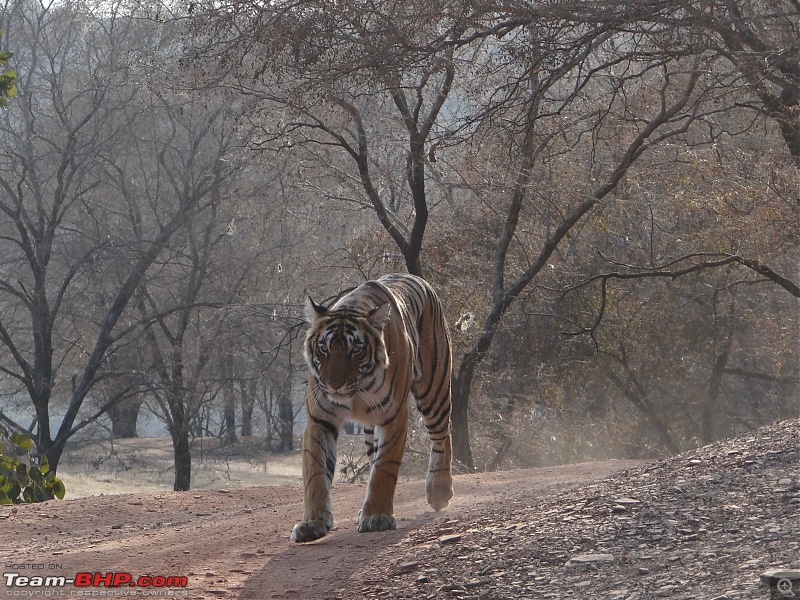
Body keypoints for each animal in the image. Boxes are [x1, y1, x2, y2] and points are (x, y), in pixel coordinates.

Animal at [292, 274, 456, 540]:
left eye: (355, 350)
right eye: (324, 349)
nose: (334, 384)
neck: (356, 393)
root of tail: (419, 279)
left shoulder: (394, 417)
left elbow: (384, 469)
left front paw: (377, 517)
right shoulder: (319, 421)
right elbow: (315, 474)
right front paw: (312, 523)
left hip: (434, 388)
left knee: (443, 436)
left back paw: (439, 491)